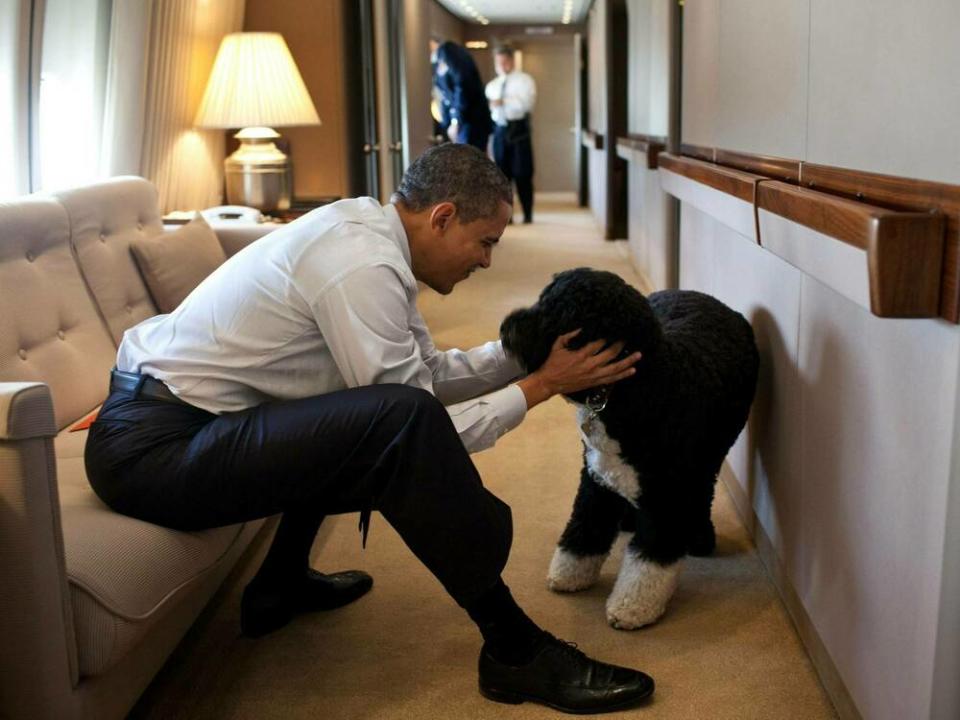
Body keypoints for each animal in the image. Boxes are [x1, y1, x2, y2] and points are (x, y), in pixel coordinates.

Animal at [502, 270, 756, 632]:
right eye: (543, 298)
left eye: (562, 314)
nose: (508, 326)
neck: (644, 386)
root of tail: (697, 294)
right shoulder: (595, 477)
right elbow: (584, 527)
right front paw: (570, 574)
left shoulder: (666, 493)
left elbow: (649, 561)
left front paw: (633, 606)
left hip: (710, 456)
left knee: (702, 492)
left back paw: (698, 536)